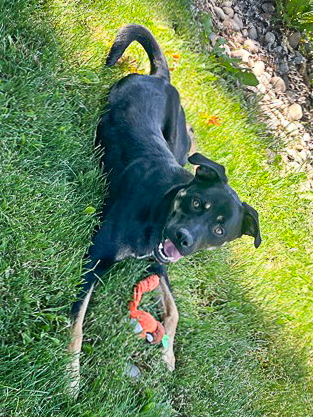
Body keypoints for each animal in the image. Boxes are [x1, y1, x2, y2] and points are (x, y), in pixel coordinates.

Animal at [67, 23, 260, 394]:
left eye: (218, 229)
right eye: (197, 202)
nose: (184, 238)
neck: (160, 207)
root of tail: (161, 78)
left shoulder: (160, 264)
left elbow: (175, 310)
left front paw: (168, 355)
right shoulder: (96, 257)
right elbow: (77, 320)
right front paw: (70, 374)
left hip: (179, 142)